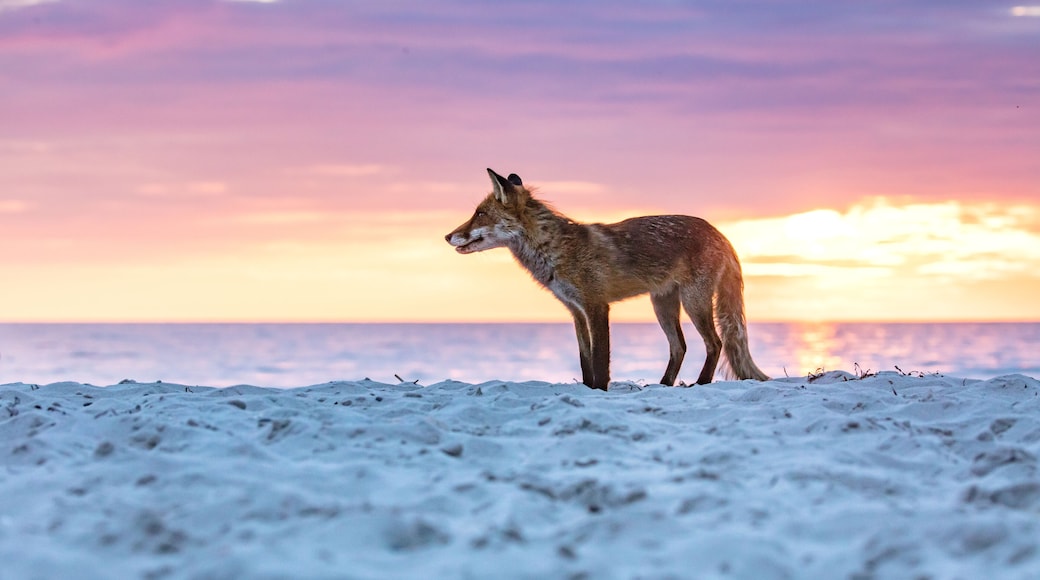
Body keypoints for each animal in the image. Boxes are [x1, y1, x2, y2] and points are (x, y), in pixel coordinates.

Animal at [445, 168, 769, 391]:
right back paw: (664, 385)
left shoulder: (597, 306)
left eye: (480, 214)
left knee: (715, 343)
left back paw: (701, 383)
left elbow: (601, 358)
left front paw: (600, 390)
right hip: (662, 305)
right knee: (680, 347)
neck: (558, 251)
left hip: (693, 301)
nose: (447, 236)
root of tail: (719, 232)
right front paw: (589, 389)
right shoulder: (576, 311)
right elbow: (585, 358)